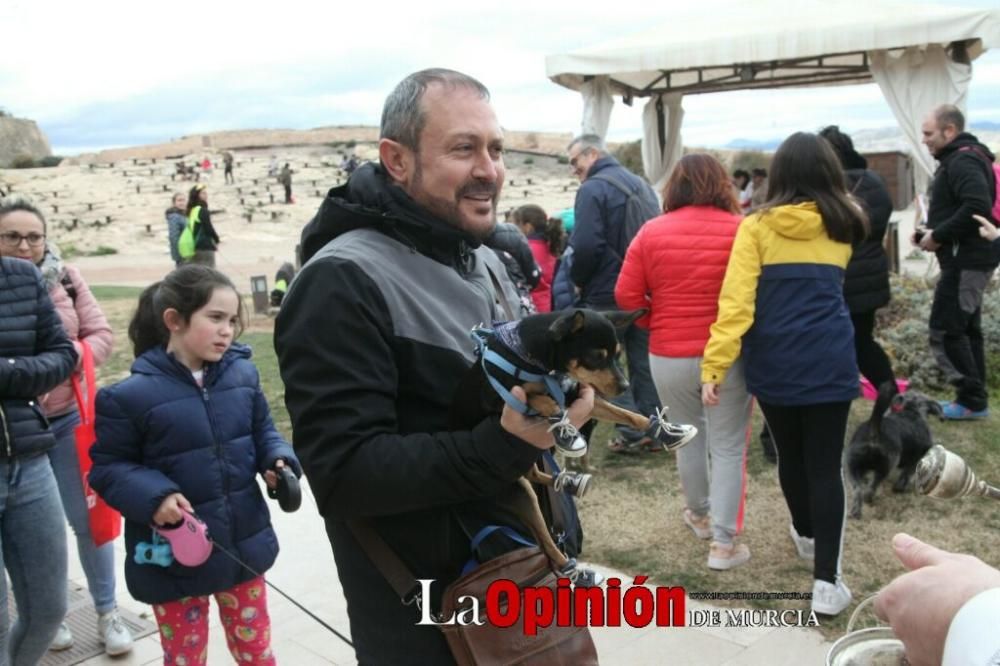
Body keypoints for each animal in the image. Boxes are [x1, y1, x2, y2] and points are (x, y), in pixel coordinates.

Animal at [848, 378, 940, 520]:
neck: (911, 411)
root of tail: (874, 431)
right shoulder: (916, 459)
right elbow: (906, 474)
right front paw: (899, 488)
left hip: (851, 464)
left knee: (858, 490)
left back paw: (855, 511)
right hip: (886, 465)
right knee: (870, 489)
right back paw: (869, 499)